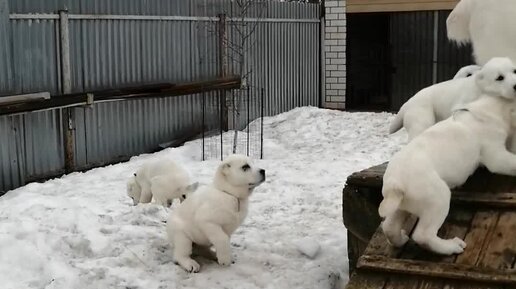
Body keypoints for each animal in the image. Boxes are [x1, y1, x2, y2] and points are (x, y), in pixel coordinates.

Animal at [380, 93, 516, 253]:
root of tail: (394, 184)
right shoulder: (496, 156)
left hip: (401, 206)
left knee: (389, 226)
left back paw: (401, 239)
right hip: (438, 198)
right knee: (423, 235)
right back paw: (451, 246)